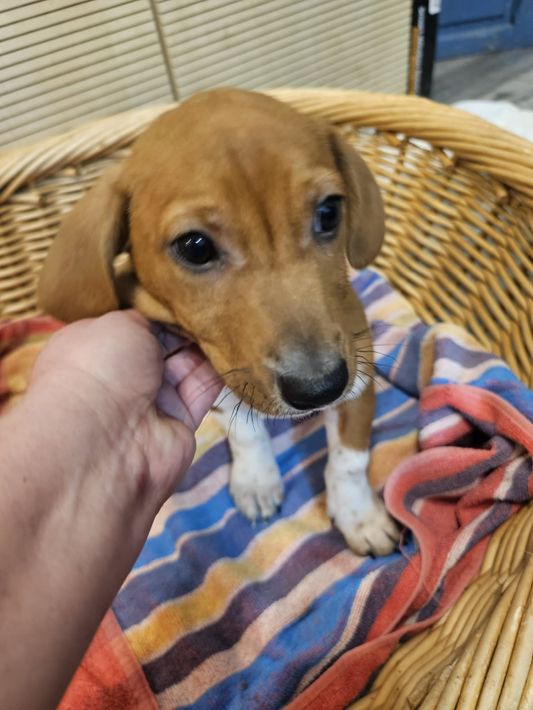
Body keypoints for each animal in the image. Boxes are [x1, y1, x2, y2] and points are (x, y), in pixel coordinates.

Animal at [38, 88, 399, 556]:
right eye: (195, 247)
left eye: (329, 213)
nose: (319, 389)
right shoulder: (225, 374)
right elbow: (244, 430)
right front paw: (256, 480)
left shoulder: (359, 366)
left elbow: (349, 459)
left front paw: (359, 515)